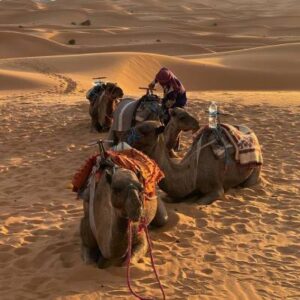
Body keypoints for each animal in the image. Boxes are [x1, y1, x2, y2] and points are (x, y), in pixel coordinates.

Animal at [130, 108, 262, 204]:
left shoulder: (216, 189)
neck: (192, 171)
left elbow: (200, 201)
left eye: (144, 132)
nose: (126, 138)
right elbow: (167, 197)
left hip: (255, 168)